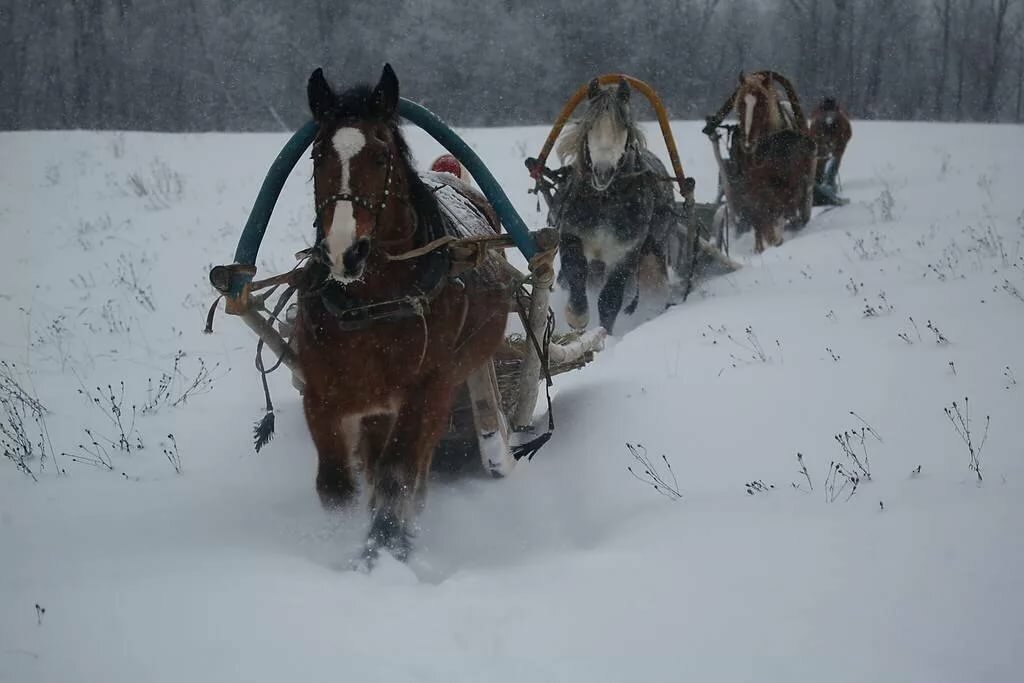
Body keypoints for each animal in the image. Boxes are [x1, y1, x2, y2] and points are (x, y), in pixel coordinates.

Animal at [294, 63, 520, 569]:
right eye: (317, 156)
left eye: (381, 156)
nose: (344, 252)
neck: (372, 303)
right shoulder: (322, 394)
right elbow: (336, 486)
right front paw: (343, 544)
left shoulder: (426, 388)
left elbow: (397, 473)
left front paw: (383, 549)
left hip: (445, 387)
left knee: (413, 467)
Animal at [548, 77, 675, 333]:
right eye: (589, 126)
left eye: (623, 127)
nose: (603, 171)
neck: (605, 200)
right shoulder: (572, 236)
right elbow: (576, 274)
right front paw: (576, 318)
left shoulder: (625, 253)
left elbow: (610, 299)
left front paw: (604, 333)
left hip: (653, 254)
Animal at [729, 72, 815, 253]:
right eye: (741, 104)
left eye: (762, 103)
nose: (747, 144)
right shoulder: (752, 187)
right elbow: (758, 216)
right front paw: (759, 247)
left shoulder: (786, 186)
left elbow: (780, 212)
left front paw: (776, 240)